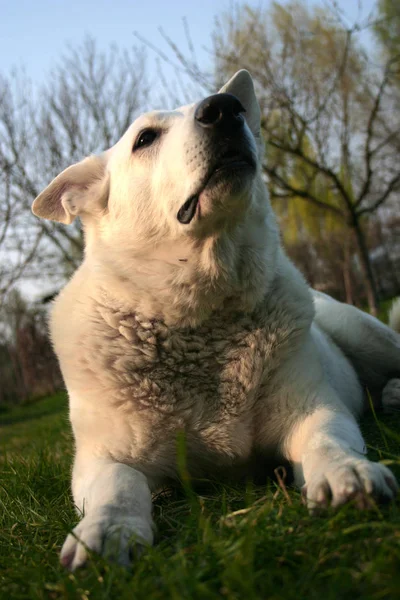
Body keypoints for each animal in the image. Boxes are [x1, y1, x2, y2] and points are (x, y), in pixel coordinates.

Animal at [32, 71, 400, 572]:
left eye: (229, 107)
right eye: (145, 138)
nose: (225, 109)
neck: (201, 315)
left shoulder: (313, 410)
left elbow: (327, 440)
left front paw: (349, 475)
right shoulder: (101, 458)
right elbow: (118, 486)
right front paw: (106, 532)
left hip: (361, 330)